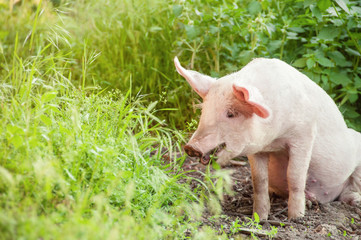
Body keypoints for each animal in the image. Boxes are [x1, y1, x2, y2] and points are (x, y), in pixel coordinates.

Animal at [174, 56, 360, 219]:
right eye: (204, 111)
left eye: (231, 113)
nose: (190, 147)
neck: (274, 141)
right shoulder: (257, 149)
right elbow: (259, 180)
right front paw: (259, 218)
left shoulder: (304, 134)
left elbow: (295, 176)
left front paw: (296, 218)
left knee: (350, 188)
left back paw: (353, 202)